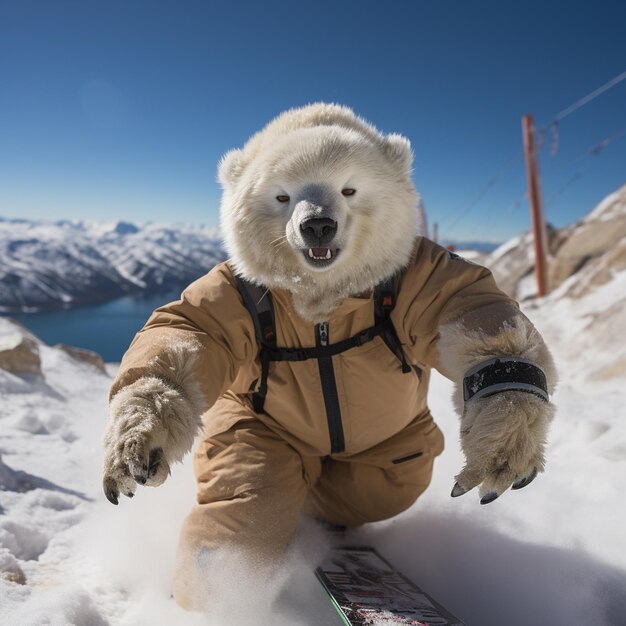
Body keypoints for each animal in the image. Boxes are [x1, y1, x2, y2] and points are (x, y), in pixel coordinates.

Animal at [101, 103, 556, 608]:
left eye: (348, 188)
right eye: (283, 196)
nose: (317, 224)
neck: (322, 305)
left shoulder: (424, 271)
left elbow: (473, 312)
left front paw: (503, 442)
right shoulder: (230, 290)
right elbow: (186, 331)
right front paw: (140, 435)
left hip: (399, 452)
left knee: (378, 485)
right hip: (255, 433)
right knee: (245, 512)